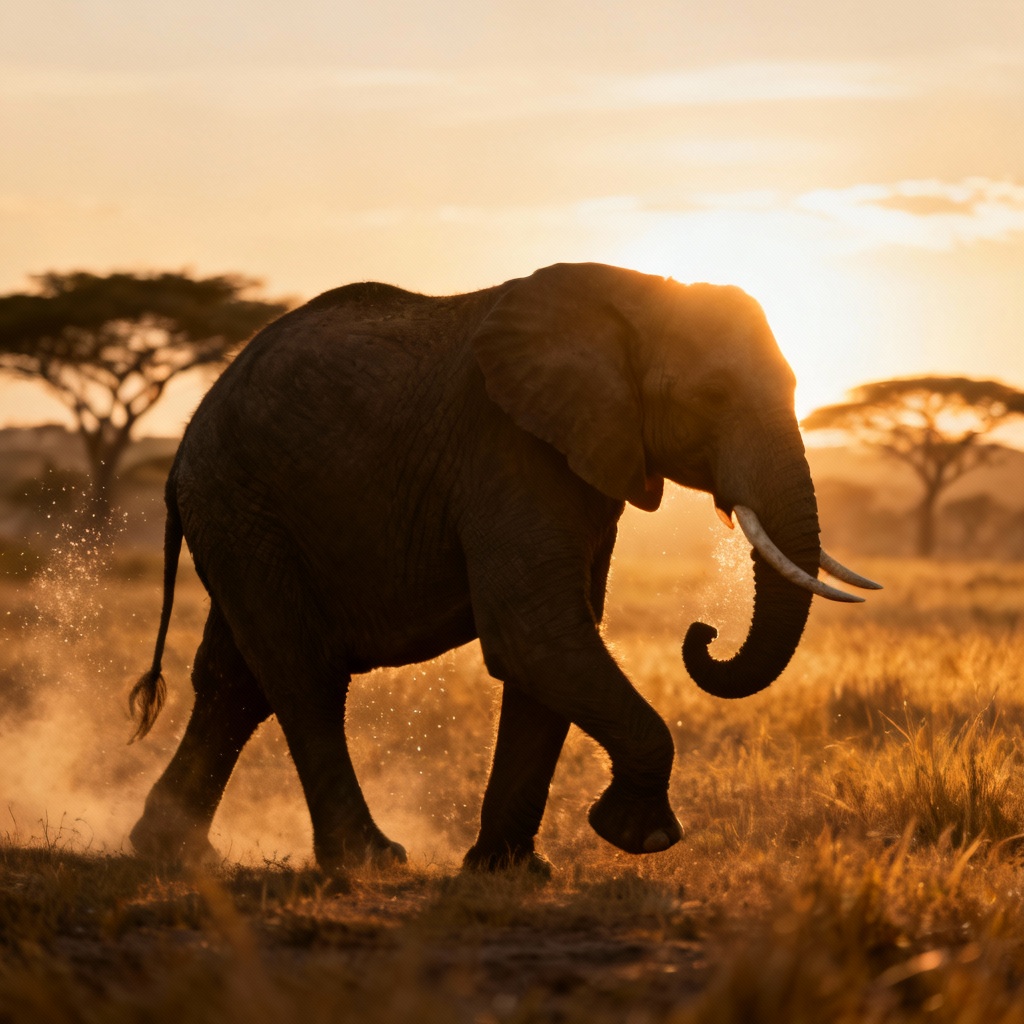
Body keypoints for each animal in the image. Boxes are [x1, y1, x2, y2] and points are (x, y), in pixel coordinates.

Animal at [127, 262, 879, 876]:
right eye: (715, 393)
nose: (704, 634)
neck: (635, 300)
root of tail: (187, 437)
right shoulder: (507, 446)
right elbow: (535, 635)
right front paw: (639, 837)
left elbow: (554, 645)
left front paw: (509, 871)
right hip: (242, 499)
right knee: (302, 670)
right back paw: (370, 860)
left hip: (243, 513)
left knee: (236, 678)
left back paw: (171, 851)